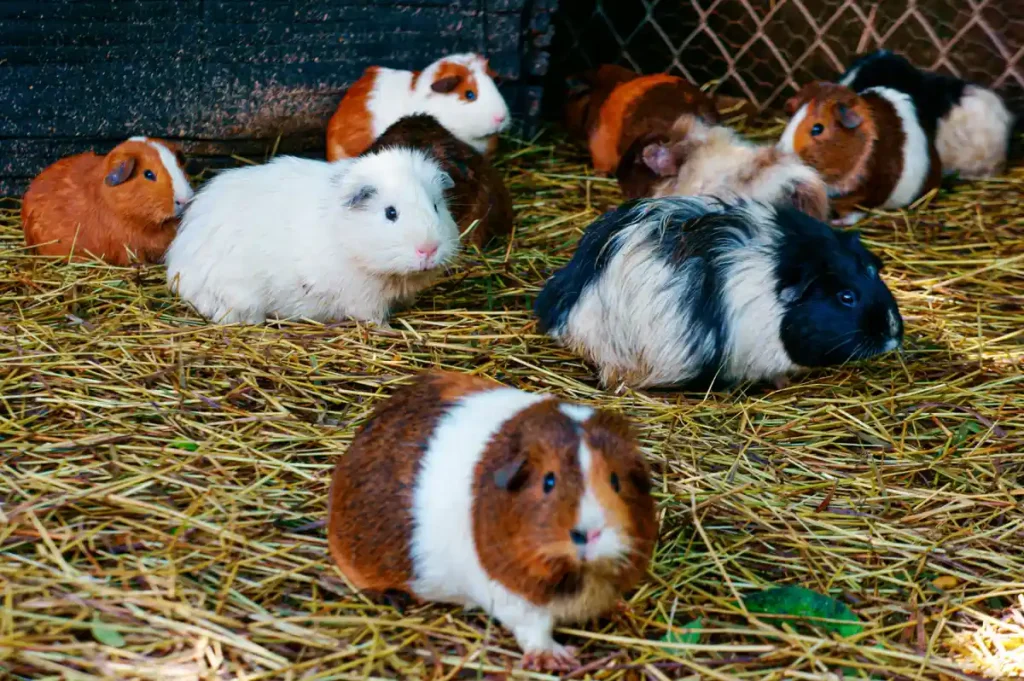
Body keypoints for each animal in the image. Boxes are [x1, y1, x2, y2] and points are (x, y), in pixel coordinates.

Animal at [165, 148, 459, 325]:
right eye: (390, 213)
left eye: (436, 206)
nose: (428, 250)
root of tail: (178, 267)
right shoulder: (363, 299)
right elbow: (372, 318)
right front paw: (387, 329)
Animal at [327, 370, 657, 672]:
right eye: (548, 481)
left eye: (615, 481)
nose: (589, 533)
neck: (579, 577)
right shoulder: (512, 599)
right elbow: (535, 629)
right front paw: (558, 659)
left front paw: (623, 608)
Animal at [778, 81, 942, 225]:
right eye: (790, 120)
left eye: (818, 128)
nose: (784, 153)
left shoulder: (864, 196)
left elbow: (853, 213)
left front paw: (836, 222)